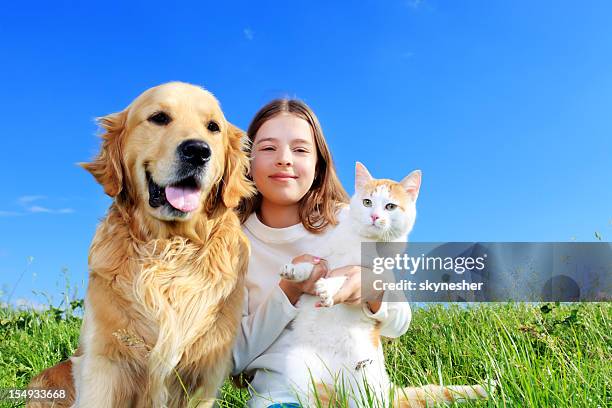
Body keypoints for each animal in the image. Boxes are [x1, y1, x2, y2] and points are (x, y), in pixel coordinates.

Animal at [26, 81, 255, 406]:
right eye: (159, 118)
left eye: (213, 127)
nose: (198, 151)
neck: (170, 247)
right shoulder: (105, 364)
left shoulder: (205, 376)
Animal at [280, 163, 494, 408]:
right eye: (367, 202)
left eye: (390, 206)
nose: (374, 216)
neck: (363, 242)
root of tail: (388, 391)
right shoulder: (324, 261)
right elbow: (312, 267)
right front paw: (295, 271)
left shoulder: (371, 274)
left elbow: (345, 277)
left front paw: (330, 287)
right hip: (303, 371)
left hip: (364, 381)